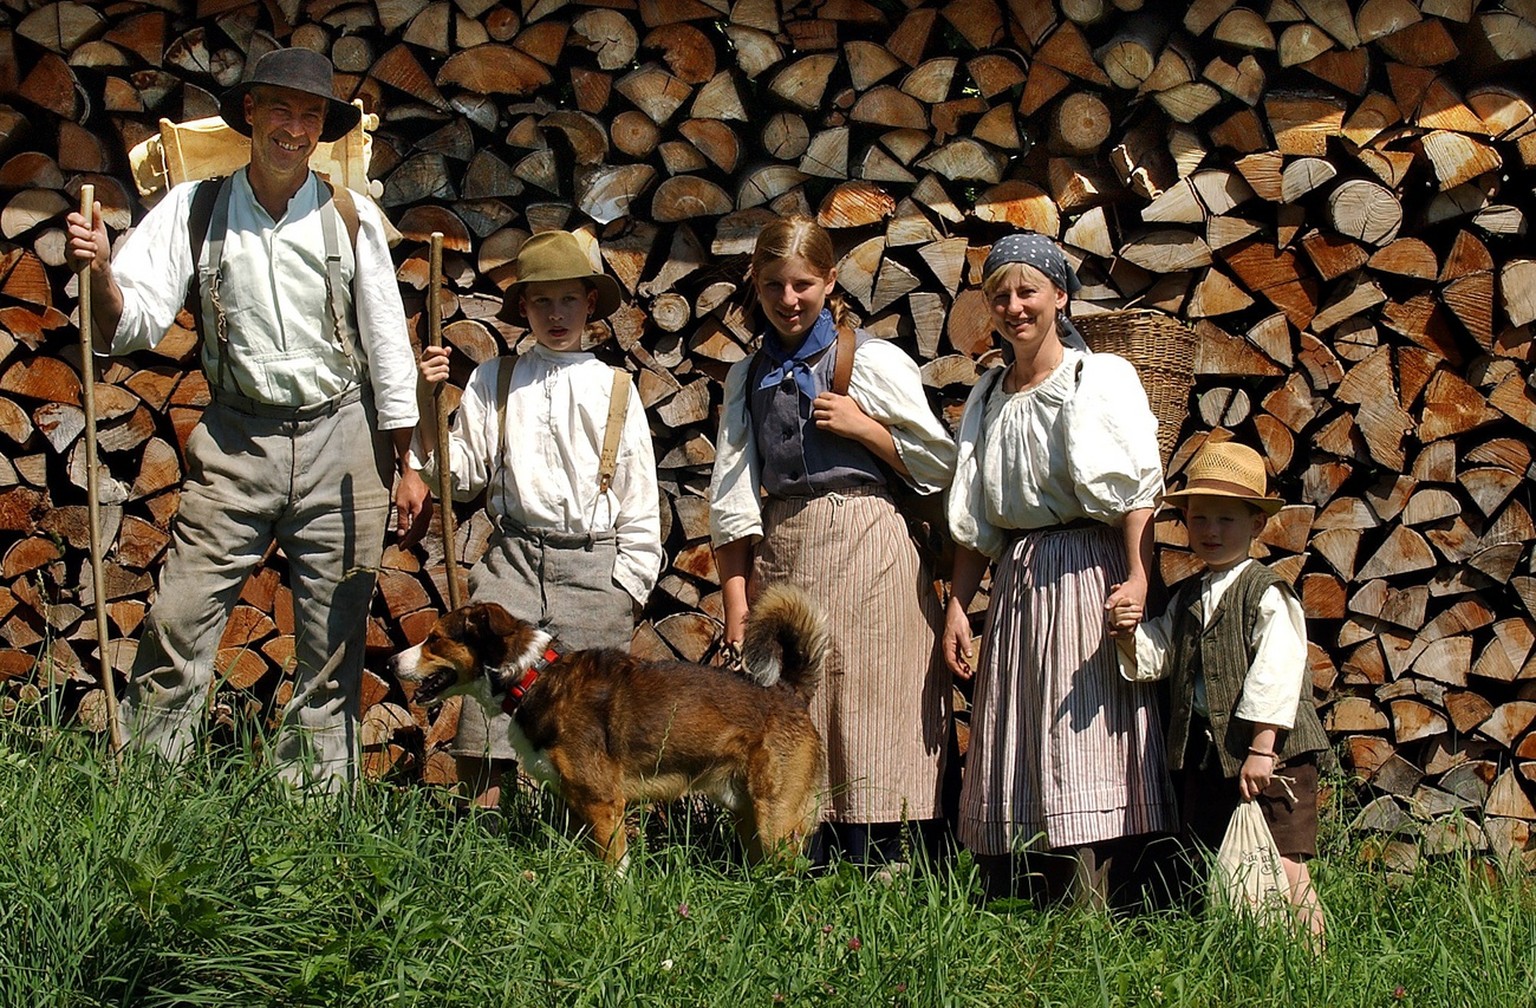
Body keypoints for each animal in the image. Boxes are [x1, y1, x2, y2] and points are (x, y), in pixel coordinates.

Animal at [390, 583, 835, 866]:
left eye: (434, 639)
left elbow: (614, 871)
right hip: (750, 817)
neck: (532, 676)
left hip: (776, 818)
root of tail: (789, 692)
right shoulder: (576, 803)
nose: (392, 661)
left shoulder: (603, 803)